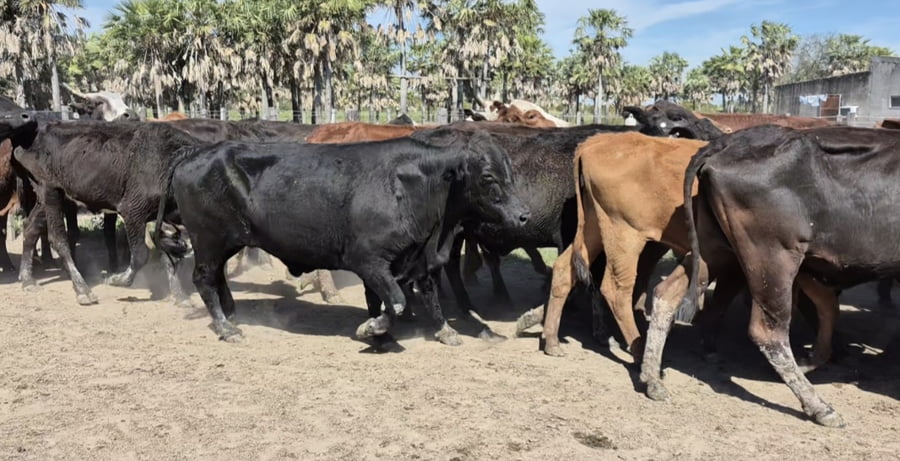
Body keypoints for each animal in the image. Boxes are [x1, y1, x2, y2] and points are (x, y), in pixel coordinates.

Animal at [0, 113, 199, 306]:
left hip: (50, 198)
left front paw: (181, 296)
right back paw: (83, 291)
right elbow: (141, 254)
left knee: (30, 228)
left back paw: (27, 280)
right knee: (58, 239)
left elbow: (167, 256)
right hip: (50, 191)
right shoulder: (132, 211)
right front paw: (117, 279)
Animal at [154, 127, 529, 345]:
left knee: (217, 278)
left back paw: (232, 315)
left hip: (223, 243)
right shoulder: (369, 261)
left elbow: (418, 293)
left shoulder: (415, 259)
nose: (524, 214)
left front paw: (442, 330)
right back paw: (226, 328)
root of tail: (195, 153)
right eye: (488, 177)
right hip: (208, 240)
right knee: (204, 279)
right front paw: (373, 329)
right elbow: (396, 301)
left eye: (510, 172)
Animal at [638, 125, 900, 428]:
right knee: (769, 331)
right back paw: (819, 406)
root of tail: (729, 141)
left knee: (666, 293)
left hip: (712, 248)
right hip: (773, 255)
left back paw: (652, 378)